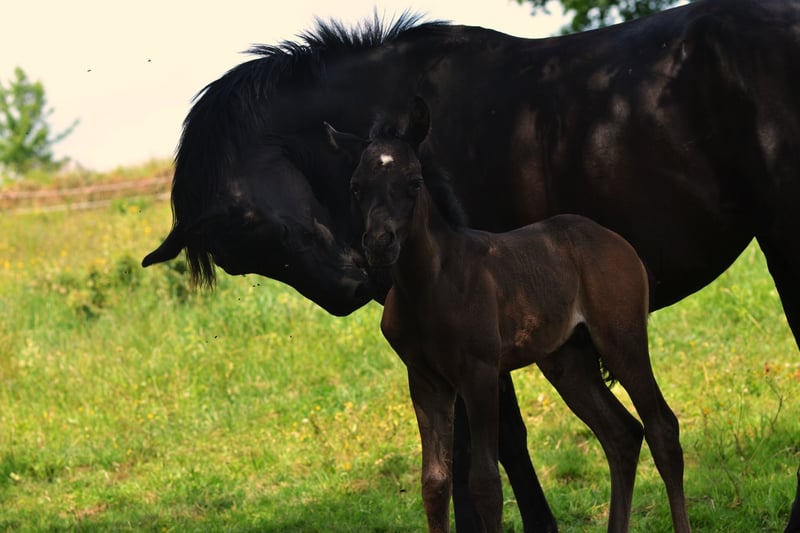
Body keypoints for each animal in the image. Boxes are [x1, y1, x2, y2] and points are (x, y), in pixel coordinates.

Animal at [329, 99, 691, 532]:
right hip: (567, 360)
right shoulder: (425, 380)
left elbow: (485, 483)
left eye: (414, 182)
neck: (429, 286)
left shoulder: (481, 373)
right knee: (622, 434)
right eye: (355, 187)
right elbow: (434, 483)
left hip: (622, 337)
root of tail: (615, 241)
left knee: (662, 428)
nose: (380, 244)